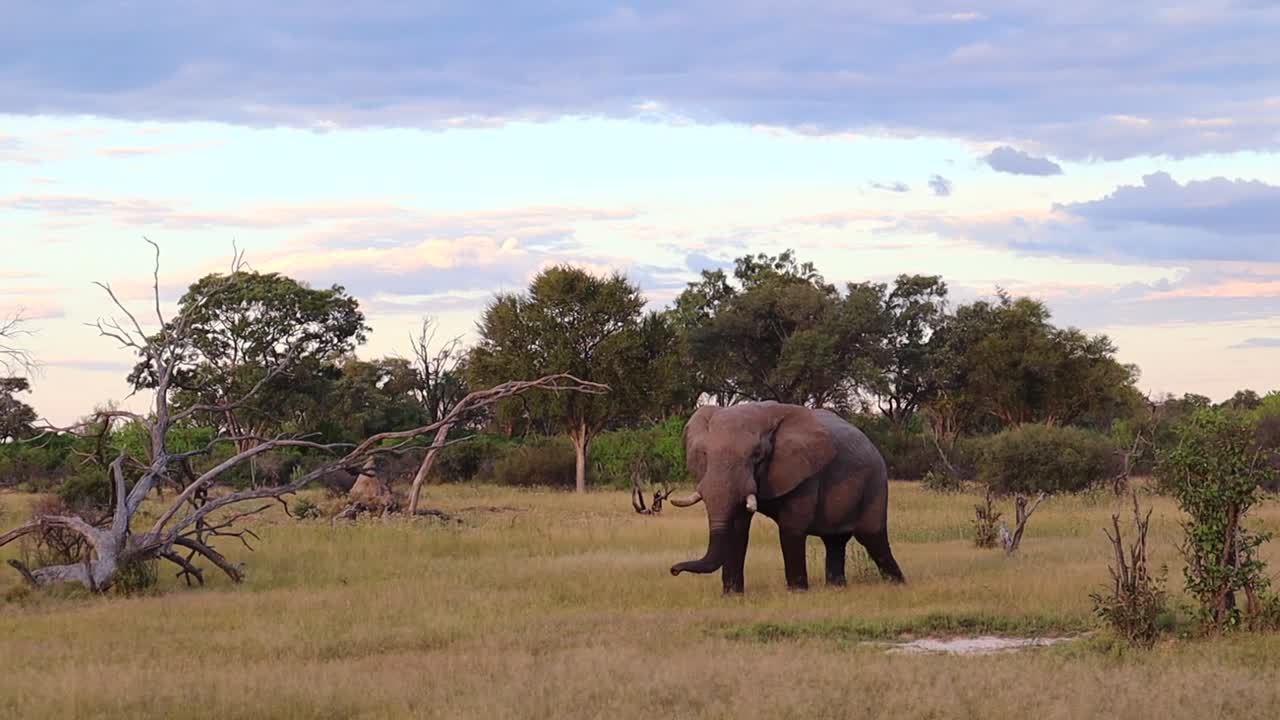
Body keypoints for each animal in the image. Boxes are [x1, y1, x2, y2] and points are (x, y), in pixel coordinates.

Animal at [668, 401, 905, 594]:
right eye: (705, 454)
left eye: (757, 455)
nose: (673, 570)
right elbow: (737, 528)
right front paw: (732, 595)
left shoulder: (806, 473)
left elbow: (792, 526)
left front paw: (798, 592)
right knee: (835, 541)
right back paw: (836, 588)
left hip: (875, 482)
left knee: (872, 537)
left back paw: (897, 584)